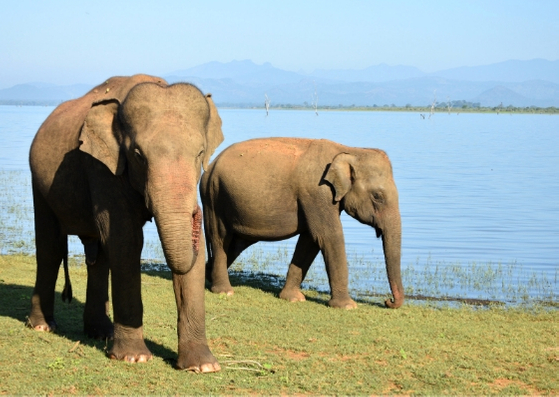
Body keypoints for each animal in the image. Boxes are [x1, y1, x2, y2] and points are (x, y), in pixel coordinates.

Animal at [201, 138, 402, 310]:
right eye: (377, 196)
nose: (388, 301)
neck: (350, 150)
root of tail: (210, 166)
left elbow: (310, 241)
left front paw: (293, 298)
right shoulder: (317, 193)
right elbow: (329, 237)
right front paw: (347, 306)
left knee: (235, 245)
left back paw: (207, 275)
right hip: (214, 199)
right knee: (220, 239)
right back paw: (225, 291)